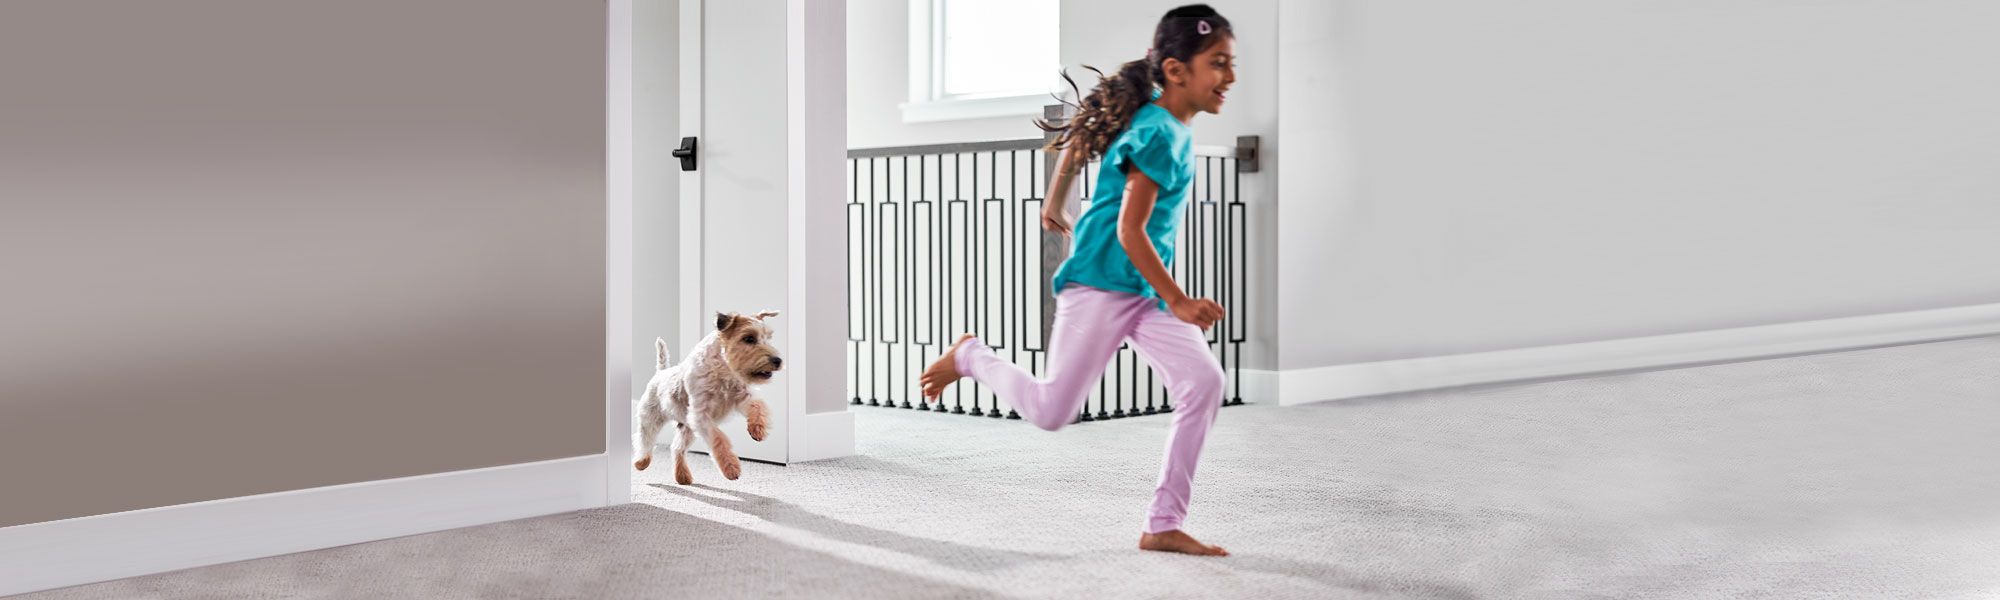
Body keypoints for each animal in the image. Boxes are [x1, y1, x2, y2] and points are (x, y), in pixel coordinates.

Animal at [632, 310, 780, 482]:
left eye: (768, 337)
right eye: (749, 338)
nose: (778, 360)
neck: (723, 370)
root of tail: (661, 372)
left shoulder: (742, 396)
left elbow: (758, 406)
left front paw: (758, 429)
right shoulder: (701, 415)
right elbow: (719, 439)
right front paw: (731, 468)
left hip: (687, 429)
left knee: (676, 448)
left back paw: (682, 476)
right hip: (651, 419)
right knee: (644, 441)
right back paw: (641, 462)